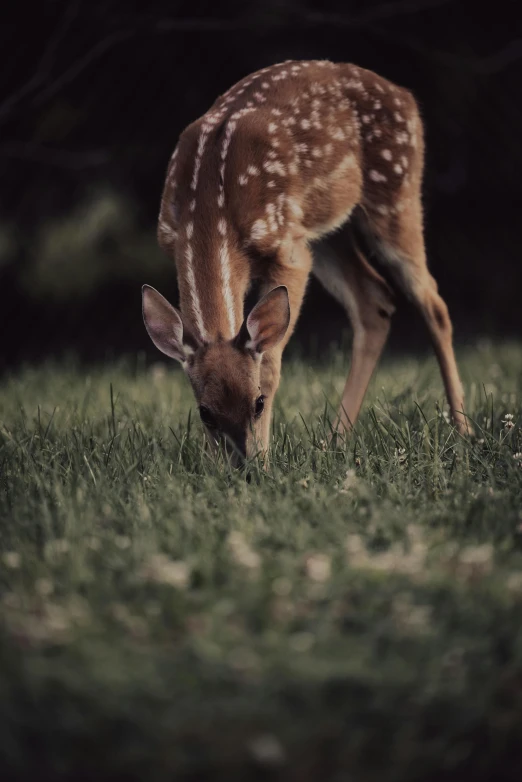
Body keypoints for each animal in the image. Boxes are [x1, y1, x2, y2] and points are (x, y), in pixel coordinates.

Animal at [141, 61, 468, 468]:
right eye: (205, 413)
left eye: (258, 403)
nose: (242, 467)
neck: (208, 212)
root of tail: (405, 95)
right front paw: (211, 463)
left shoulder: (289, 249)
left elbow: (270, 362)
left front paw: (265, 458)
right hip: (328, 233)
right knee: (374, 300)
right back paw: (335, 442)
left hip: (395, 195)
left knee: (433, 302)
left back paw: (464, 430)